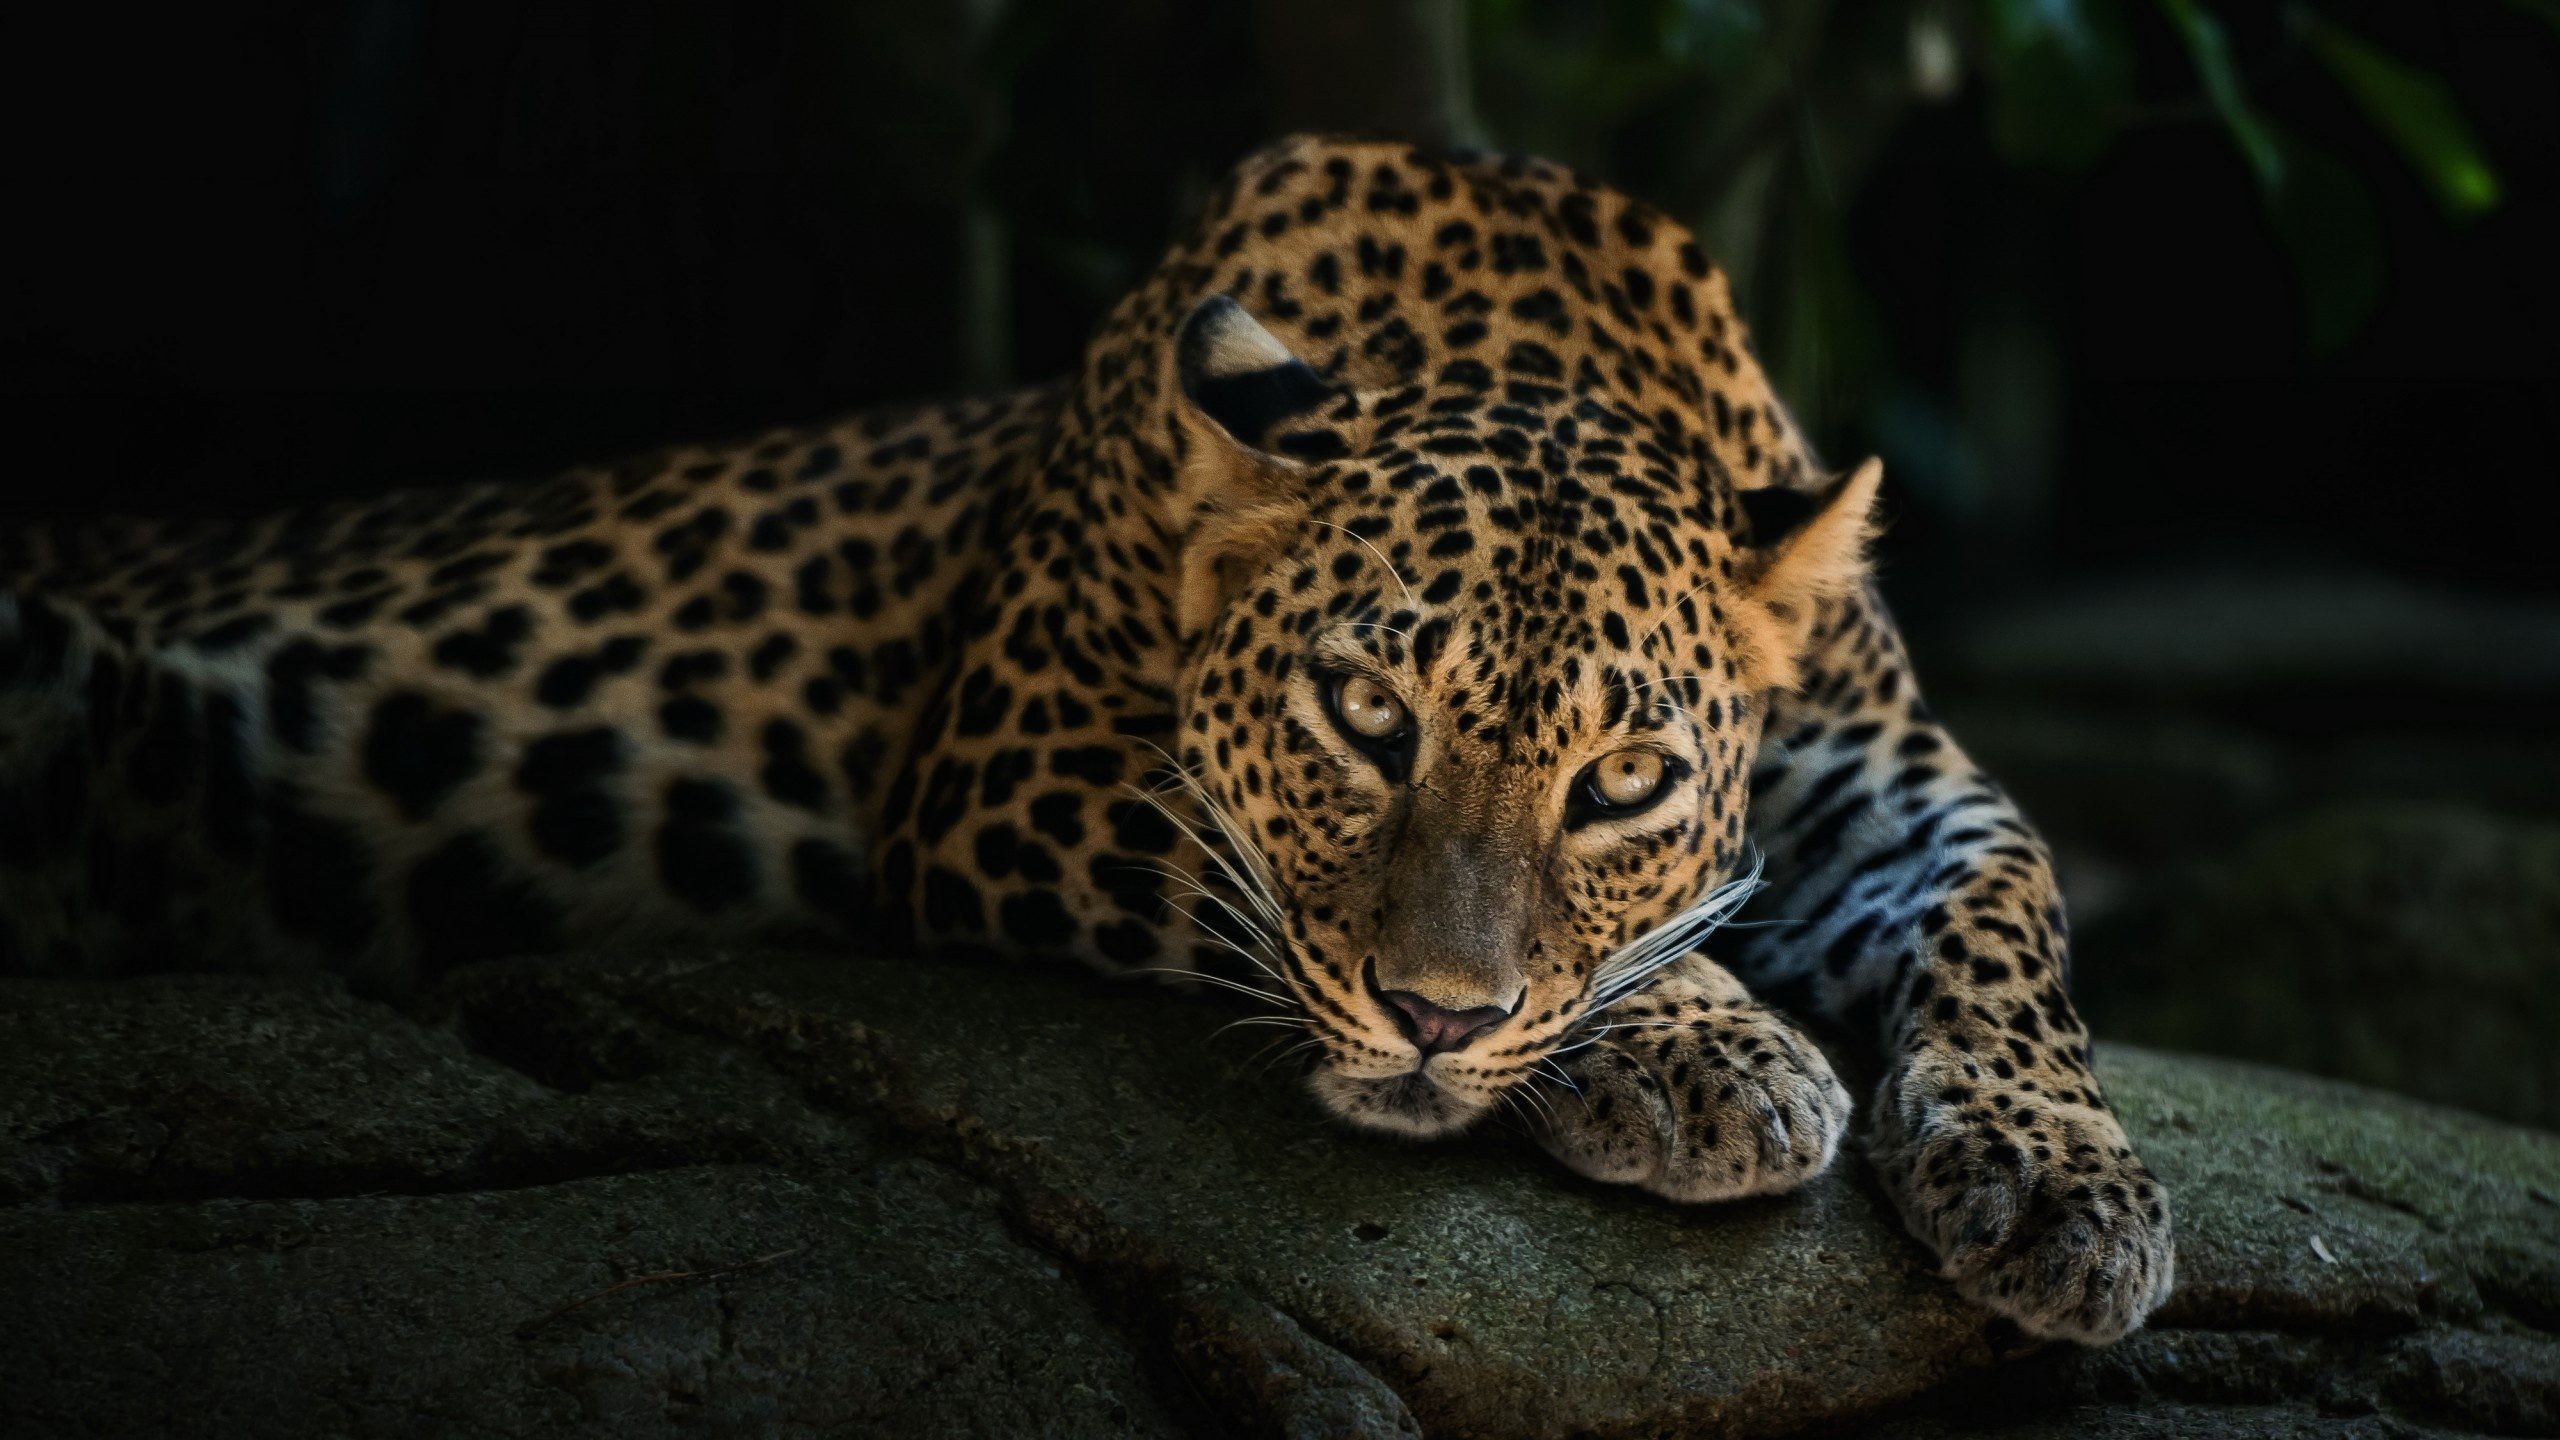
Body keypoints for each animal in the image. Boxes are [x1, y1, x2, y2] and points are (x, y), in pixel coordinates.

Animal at [0, 135, 2173, 1344]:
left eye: (1622, 781)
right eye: (1361, 716)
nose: (1439, 1025)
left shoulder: (1897, 782)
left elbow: (2014, 916)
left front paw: (2062, 1184)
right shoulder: (1006, 770)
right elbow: (1273, 892)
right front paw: (1713, 1049)